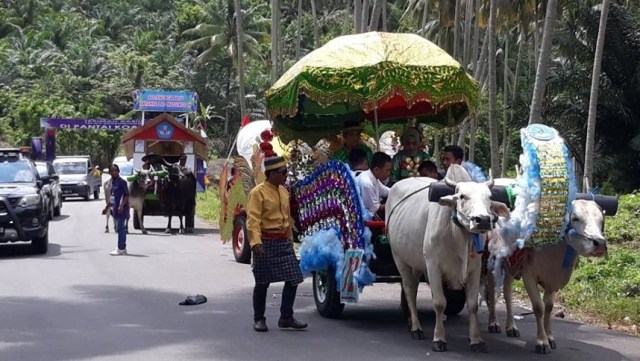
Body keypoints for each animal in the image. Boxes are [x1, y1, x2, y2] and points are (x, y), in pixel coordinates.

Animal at [384, 165, 510, 350]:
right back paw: (416, 327)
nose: (483, 220)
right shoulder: (433, 266)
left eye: (489, 197)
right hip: (400, 258)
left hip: (416, 263)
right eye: (463, 196)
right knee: (410, 290)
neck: (458, 234)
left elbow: (472, 304)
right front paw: (439, 339)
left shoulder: (475, 269)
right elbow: (439, 303)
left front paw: (476, 340)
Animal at [488, 198, 608, 352]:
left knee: (507, 294)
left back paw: (511, 327)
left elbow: (549, 308)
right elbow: (539, 307)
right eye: (575, 218)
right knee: (492, 293)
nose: (600, 243)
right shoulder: (529, 276)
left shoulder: (552, 281)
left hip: (510, 268)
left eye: (601, 220)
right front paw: (542, 341)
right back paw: (493, 323)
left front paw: (550, 337)